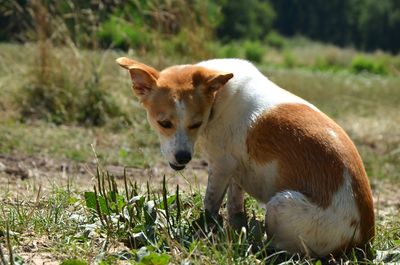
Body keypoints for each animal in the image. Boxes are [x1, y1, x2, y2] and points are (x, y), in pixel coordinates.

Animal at [116, 56, 376, 256]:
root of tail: (362, 238)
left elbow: (210, 204)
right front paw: (235, 224)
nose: (182, 158)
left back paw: (258, 242)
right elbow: (234, 203)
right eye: (164, 123)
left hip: (282, 204)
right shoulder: (235, 170)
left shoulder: (221, 166)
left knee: (284, 248)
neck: (218, 97)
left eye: (196, 124)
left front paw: (204, 229)